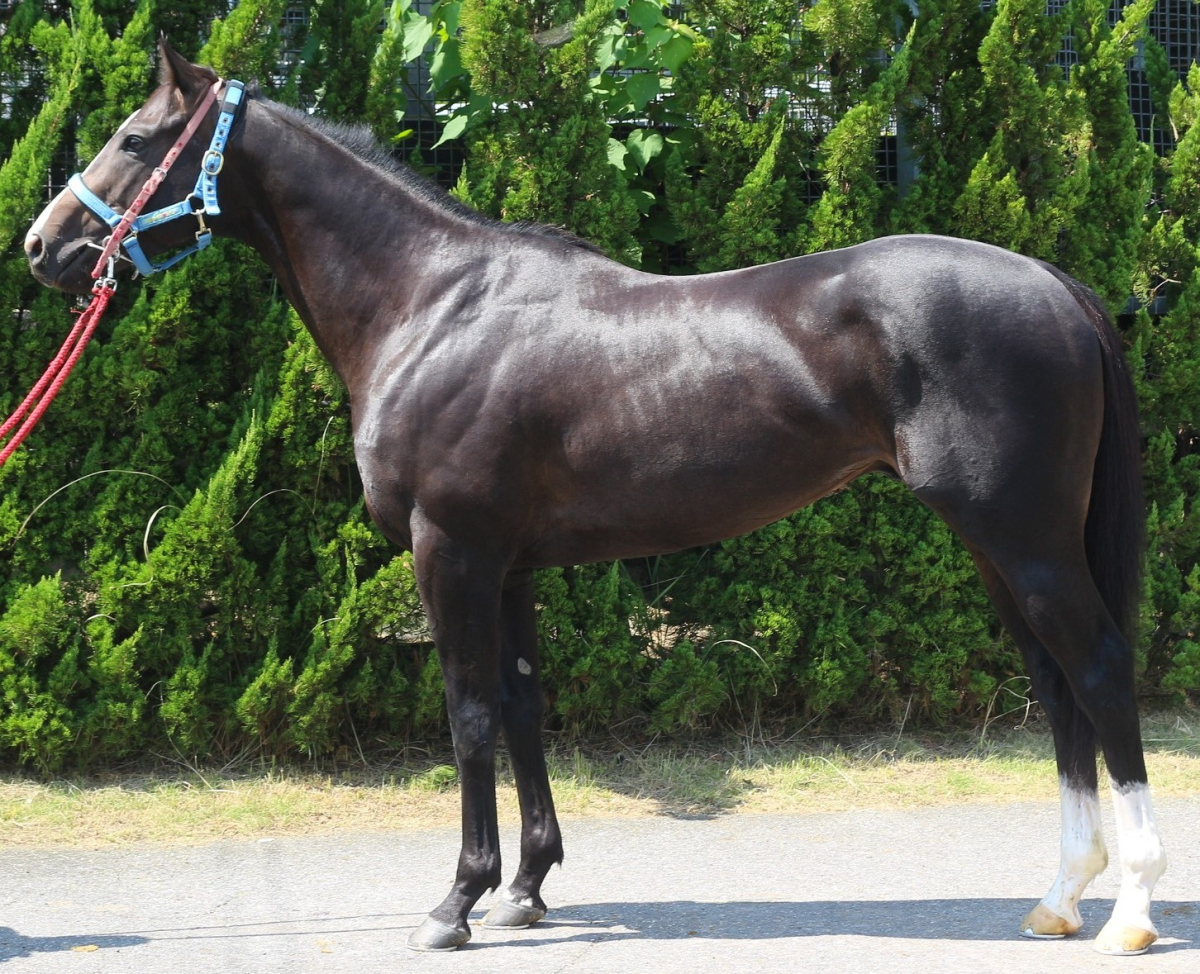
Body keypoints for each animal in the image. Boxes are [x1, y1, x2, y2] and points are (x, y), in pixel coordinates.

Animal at [24, 41, 1165, 955]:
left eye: (133, 138)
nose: (42, 246)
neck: (433, 305)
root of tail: (1056, 285)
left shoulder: (451, 552)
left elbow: (468, 713)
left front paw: (456, 901)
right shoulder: (510, 563)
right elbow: (525, 705)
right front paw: (526, 887)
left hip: (1025, 540)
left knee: (1102, 674)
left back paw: (1132, 911)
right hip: (998, 545)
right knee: (1057, 688)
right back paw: (1060, 898)